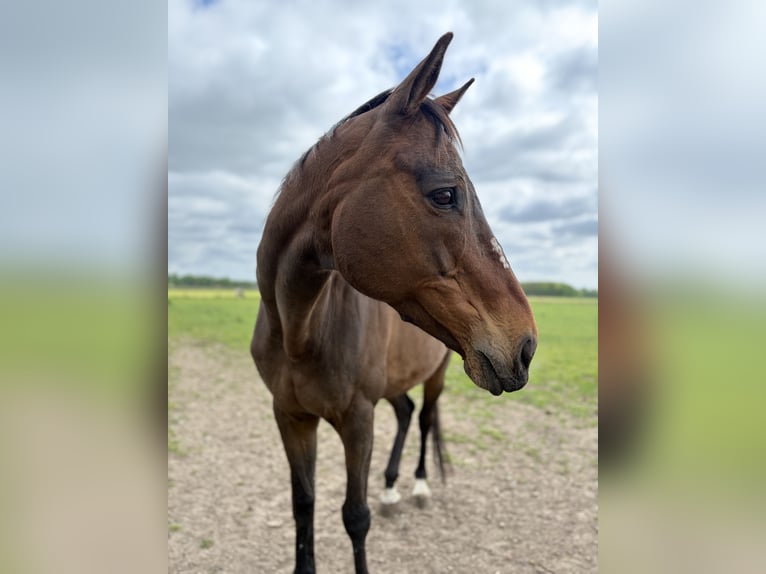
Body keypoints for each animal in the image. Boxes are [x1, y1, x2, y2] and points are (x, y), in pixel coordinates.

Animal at [251, 32, 537, 574]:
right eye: (445, 194)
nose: (526, 346)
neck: (301, 330)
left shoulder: (357, 420)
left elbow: (354, 516)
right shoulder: (290, 417)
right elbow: (304, 505)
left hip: (438, 375)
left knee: (422, 419)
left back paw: (418, 488)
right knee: (405, 414)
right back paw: (391, 489)